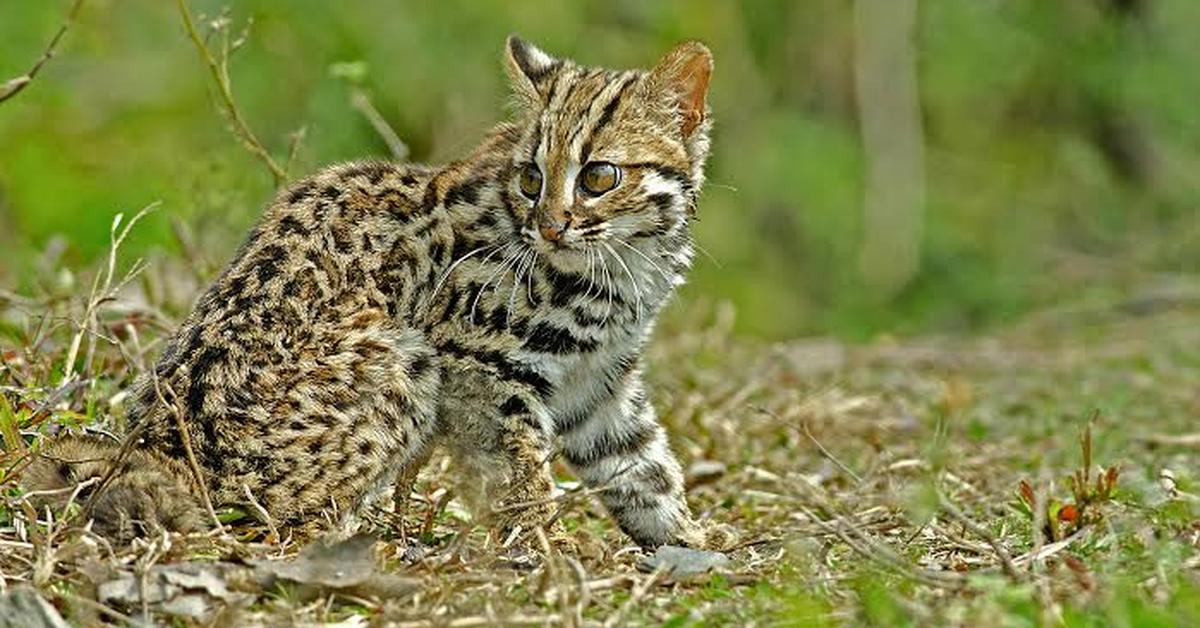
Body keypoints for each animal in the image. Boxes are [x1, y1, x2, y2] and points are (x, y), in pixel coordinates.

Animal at [25, 38, 729, 549]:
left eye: (599, 176)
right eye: (531, 178)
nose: (549, 224)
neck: (625, 263)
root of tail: (161, 451)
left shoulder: (599, 382)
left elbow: (643, 466)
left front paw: (691, 541)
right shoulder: (482, 368)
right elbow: (522, 472)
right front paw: (551, 554)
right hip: (403, 362)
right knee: (275, 519)